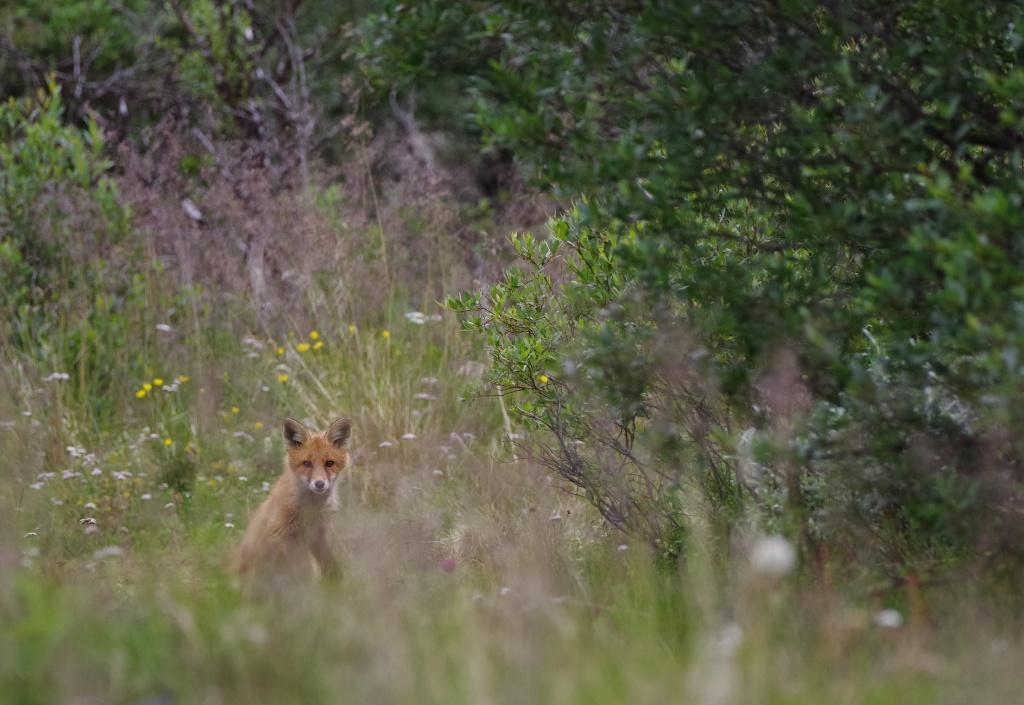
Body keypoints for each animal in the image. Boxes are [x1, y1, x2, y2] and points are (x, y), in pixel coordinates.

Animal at [234, 416, 354, 582]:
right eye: (307, 464)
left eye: (329, 463)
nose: (319, 483)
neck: (311, 511)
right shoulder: (282, 536)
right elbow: (302, 571)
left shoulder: (319, 535)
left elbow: (331, 566)